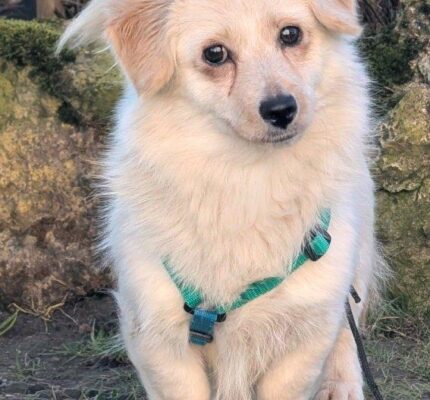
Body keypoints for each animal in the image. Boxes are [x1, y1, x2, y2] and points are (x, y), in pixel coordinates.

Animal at [59, 0, 386, 398]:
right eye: (214, 54)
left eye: (290, 34)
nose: (282, 109)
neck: (248, 180)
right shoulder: (159, 339)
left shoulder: (307, 329)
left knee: (348, 334)